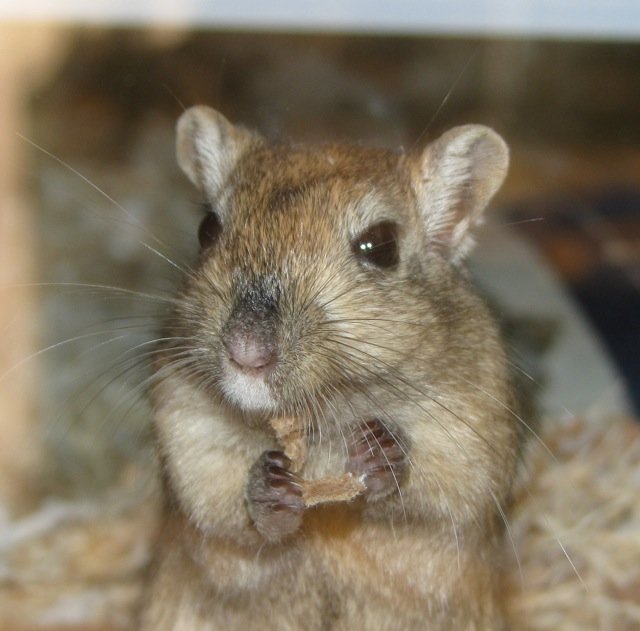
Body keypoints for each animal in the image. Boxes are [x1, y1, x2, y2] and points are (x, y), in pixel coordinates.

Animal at [140, 105, 520, 630]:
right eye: (207, 229)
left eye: (381, 246)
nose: (246, 352)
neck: (320, 423)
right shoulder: (185, 426)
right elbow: (222, 508)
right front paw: (271, 483)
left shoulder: (474, 444)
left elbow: (433, 493)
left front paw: (378, 448)